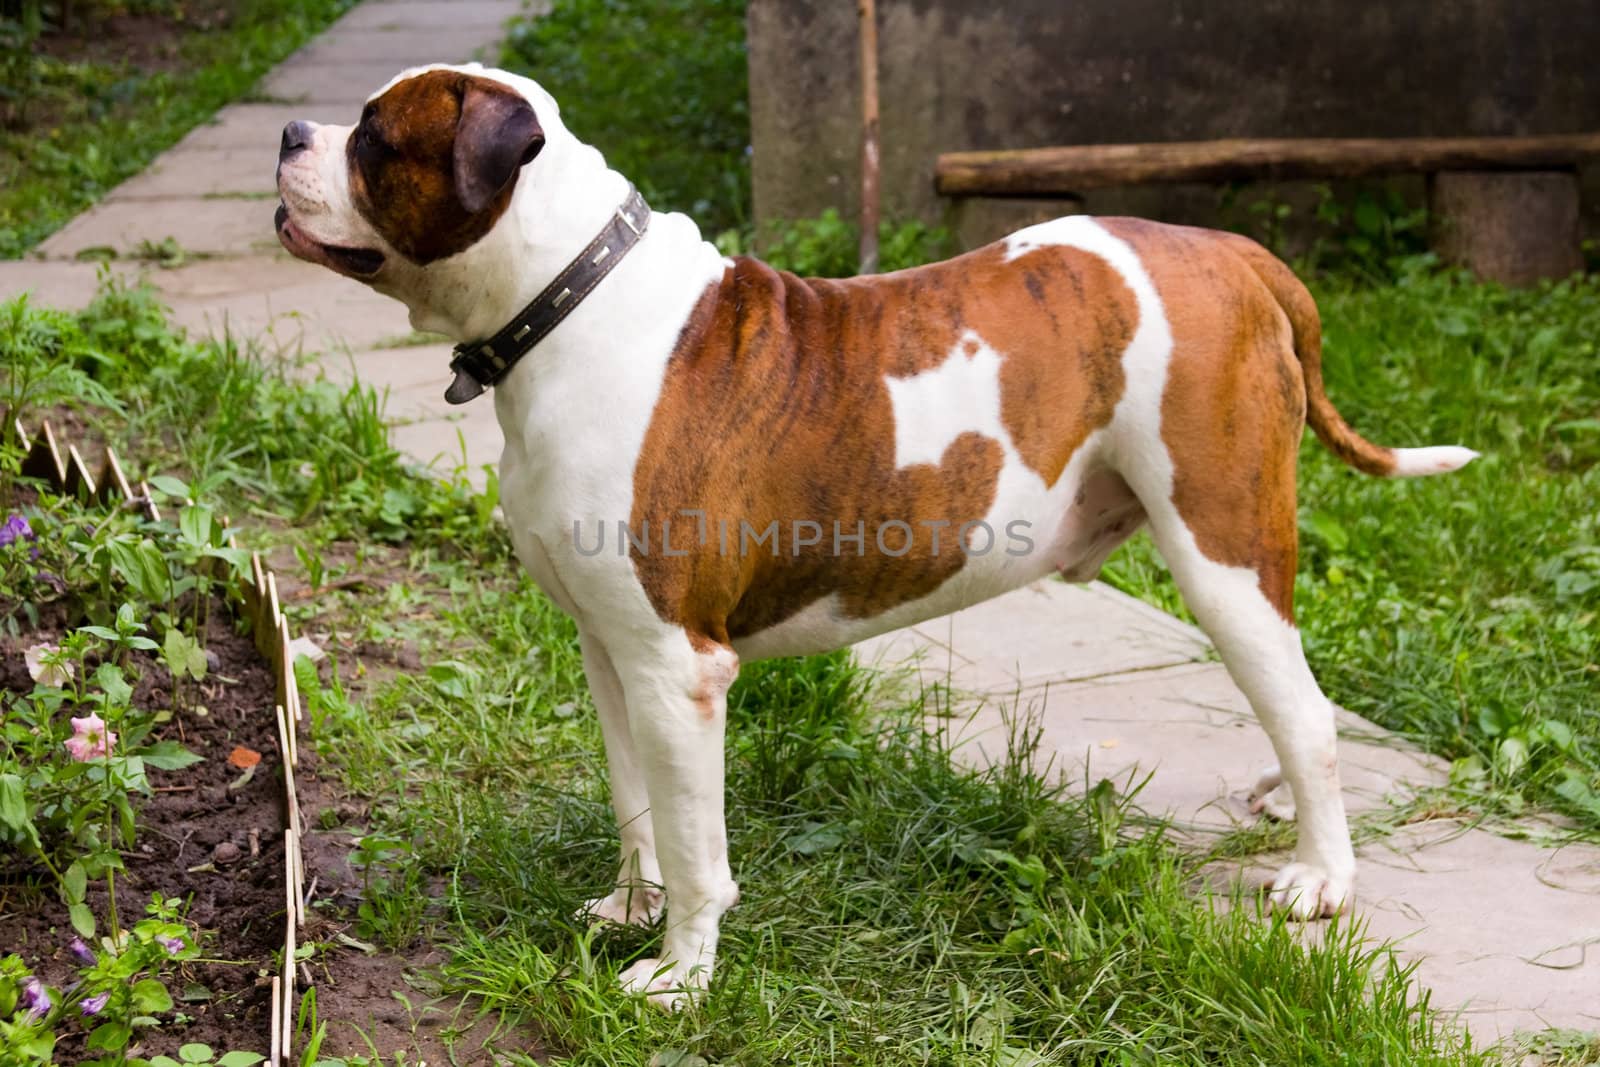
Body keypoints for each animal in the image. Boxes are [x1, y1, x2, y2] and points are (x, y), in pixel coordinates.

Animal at [272, 60, 1472, 1011]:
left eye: (374, 137)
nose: (287, 133)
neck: (563, 298)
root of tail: (1230, 249)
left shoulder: (678, 667)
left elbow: (698, 842)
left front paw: (680, 973)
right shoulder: (612, 651)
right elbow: (634, 798)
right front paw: (628, 904)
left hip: (1222, 547)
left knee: (1306, 713)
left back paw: (1321, 875)